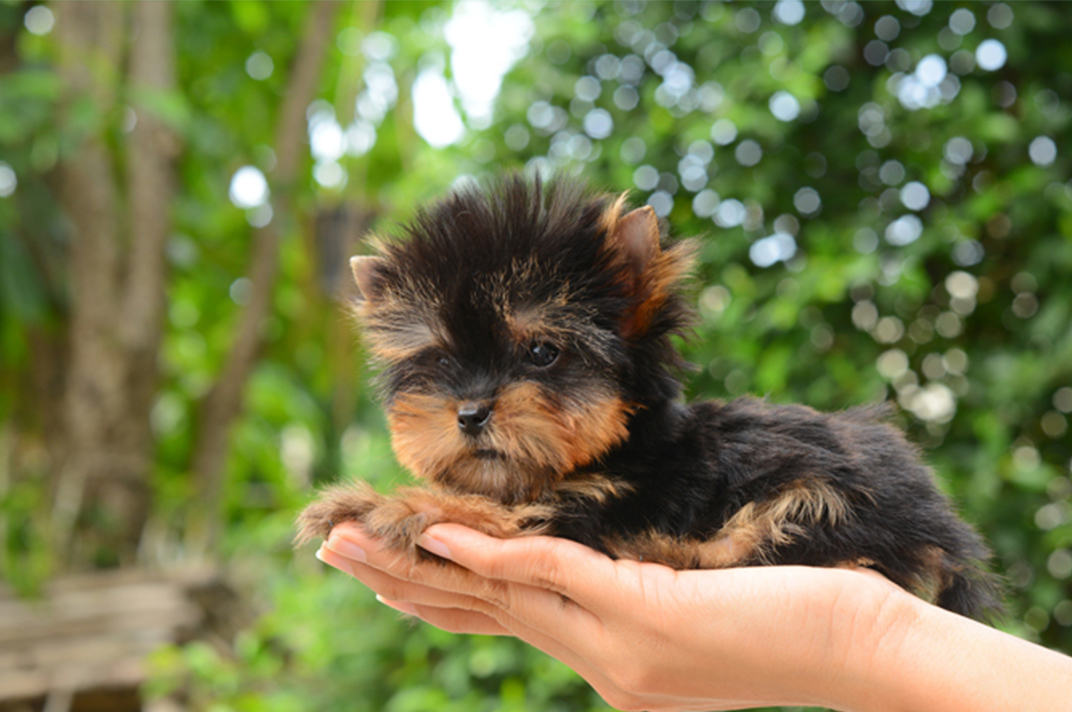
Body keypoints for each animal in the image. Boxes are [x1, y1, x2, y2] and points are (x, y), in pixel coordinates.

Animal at [298, 174, 999, 621]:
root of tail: (943, 528)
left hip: (834, 491)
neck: (617, 446)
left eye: (541, 353)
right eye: (441, 361)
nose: (469, 413)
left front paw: (385, 502)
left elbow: (505, 511)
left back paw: (667, 551)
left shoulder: (599, 500)